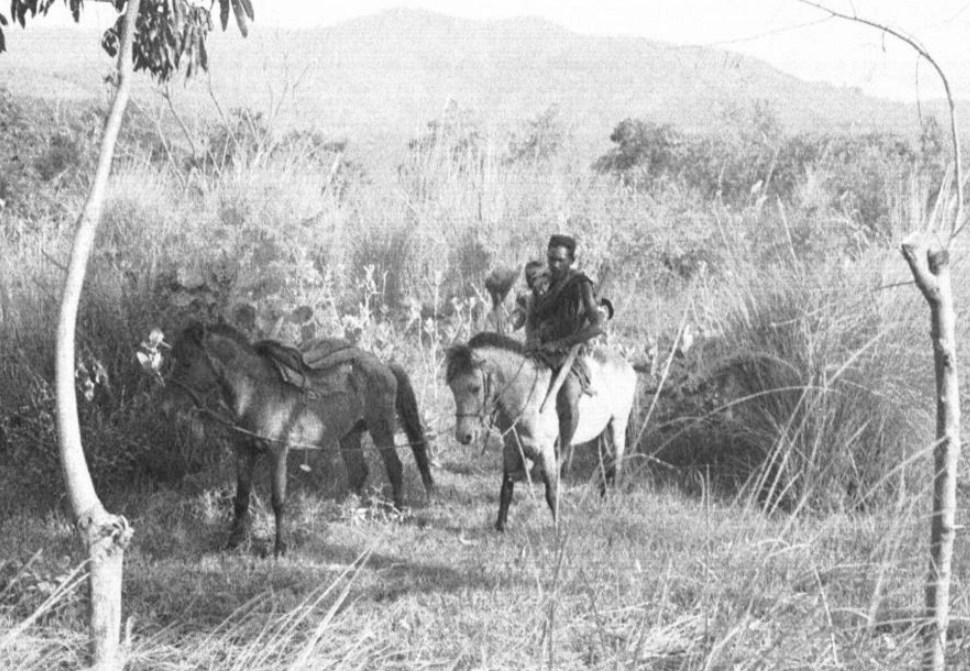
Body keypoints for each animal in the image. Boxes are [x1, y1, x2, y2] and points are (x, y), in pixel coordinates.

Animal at [161, 320, 432, 556]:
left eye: (187, 362)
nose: (166, 407)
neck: (257, 394)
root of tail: (385, 367)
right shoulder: (244, 451)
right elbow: (240, 499)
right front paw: (232, 543)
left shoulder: (277, 452)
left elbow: (278, 500)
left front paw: (279, 548)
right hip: (349, 435)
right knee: (359, 472)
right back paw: (347, 514)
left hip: (381, 429)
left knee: (394, 467)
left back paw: (398, 514)